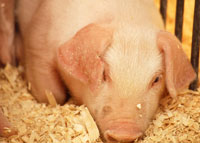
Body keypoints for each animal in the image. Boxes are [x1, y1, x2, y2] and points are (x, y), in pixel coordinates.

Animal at [0, 0, 197, 142]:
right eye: (104, 74)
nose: (124, 133)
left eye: (156, 79)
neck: (128, 18)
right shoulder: (38, 41)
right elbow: (52, 94)